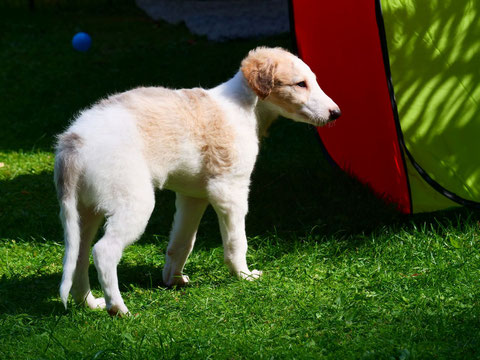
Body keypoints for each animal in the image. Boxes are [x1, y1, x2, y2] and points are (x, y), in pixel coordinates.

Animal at [54, 46, 340, 314]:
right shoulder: (229, 190)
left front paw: (174, 280)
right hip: (133, 202)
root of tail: (73, 143)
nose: (336, 113)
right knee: (103, 252)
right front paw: (244, 276)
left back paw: (89, 303)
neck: (243, 107)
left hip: (83, 211)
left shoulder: (193, 196)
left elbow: (183, 242)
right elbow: (237, 242)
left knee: (80, 255)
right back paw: (119, 308)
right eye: (300, 84)